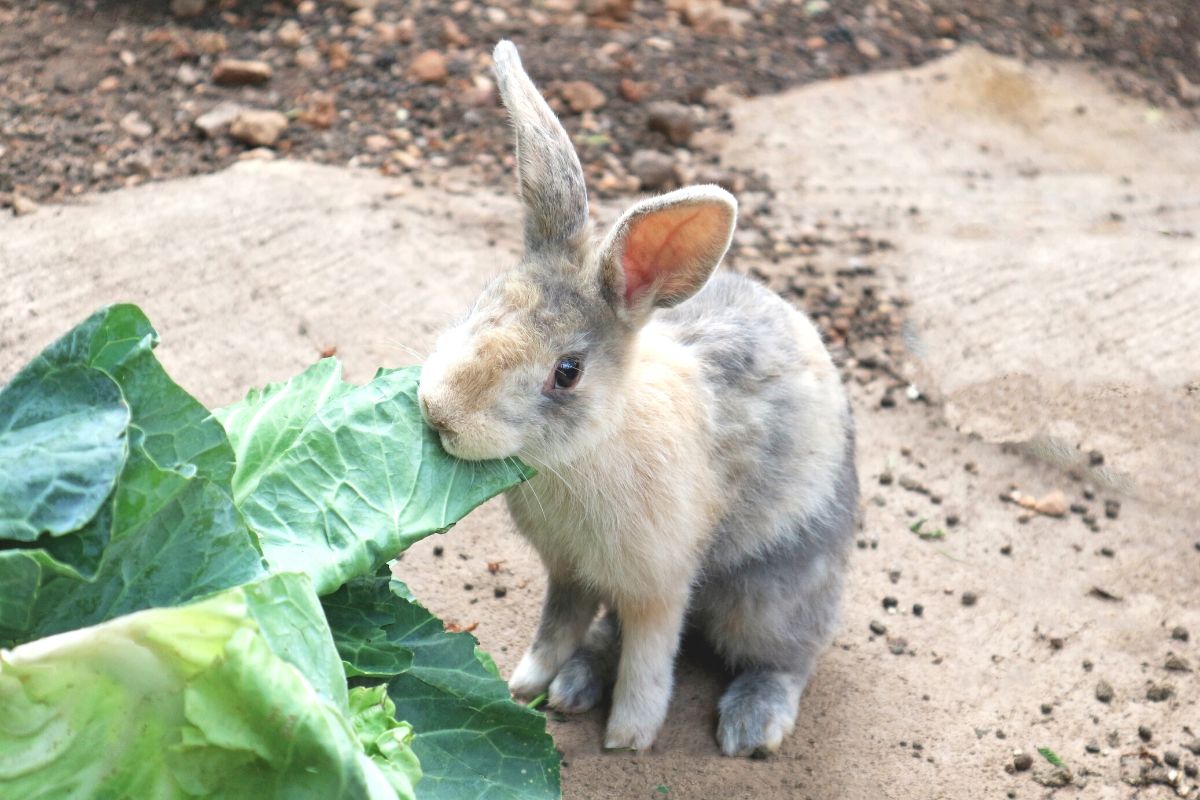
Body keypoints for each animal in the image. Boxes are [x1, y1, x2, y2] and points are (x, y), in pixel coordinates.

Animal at [417, 40, 858, 756]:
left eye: (567, 372)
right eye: (483, 303)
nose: (440, 413)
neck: (587, 452)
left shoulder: (660, 586)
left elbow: (651, 656)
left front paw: (628, 735)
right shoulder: (568, 573)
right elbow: (557, 624)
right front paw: (525, 683)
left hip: (775, 593)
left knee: (787, 656)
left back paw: (750, 726)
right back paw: (574, 685)